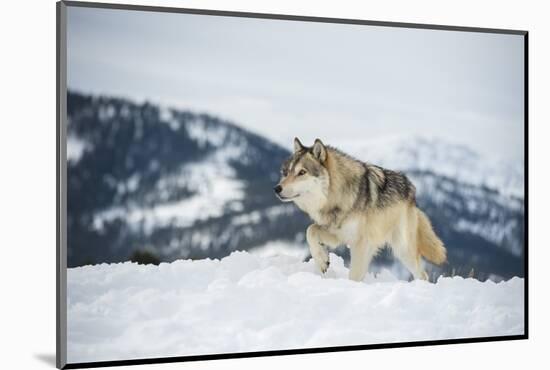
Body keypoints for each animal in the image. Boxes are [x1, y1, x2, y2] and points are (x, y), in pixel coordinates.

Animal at [274, 138, 446, 280]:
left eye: (302, 172)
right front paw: (322, 261)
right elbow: (310, 230)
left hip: (402, 249)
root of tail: (412, 191)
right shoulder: (338, 235)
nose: (277, 188)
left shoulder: (360, 242)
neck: (338, 196)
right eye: (286, 172)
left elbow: (354, 276)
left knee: (422, 274)